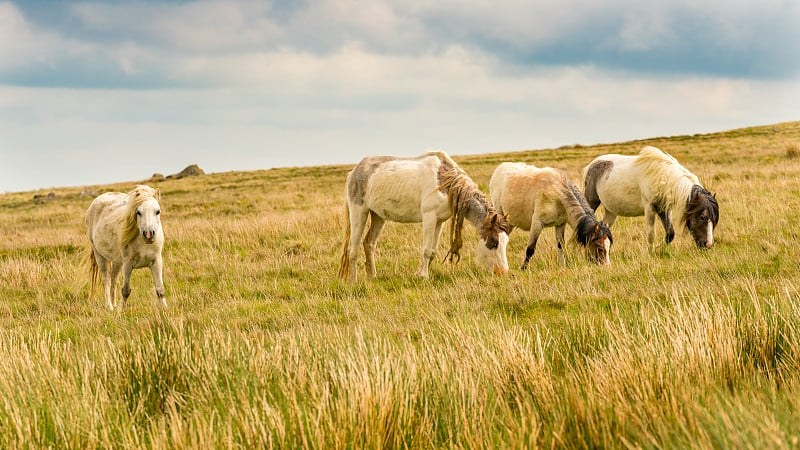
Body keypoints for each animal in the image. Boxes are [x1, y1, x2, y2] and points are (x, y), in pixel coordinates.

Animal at [338, 151, 506, 282]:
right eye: (494, 243)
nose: (503, 272)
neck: (446, 182)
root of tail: (354, 172)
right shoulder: (429, 217)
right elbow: (426, 250)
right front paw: (423, 276)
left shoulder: (440, 222)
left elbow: (432, 252)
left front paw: (421, 273)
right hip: (359, 212)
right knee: (352, 249)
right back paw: (354, 281)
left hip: (378, 216)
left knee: (369, 243)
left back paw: (372, 276)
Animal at [580, 146, 720, 248]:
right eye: (702, 217)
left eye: (714, 220)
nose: (708, 244)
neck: (662, 176)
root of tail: (590, 165)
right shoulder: (649, 208)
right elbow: (651, 235)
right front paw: (650, 253)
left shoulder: (664, 209)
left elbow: (670, 233)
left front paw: (661, 249)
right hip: (591, 202)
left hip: (610, 211)